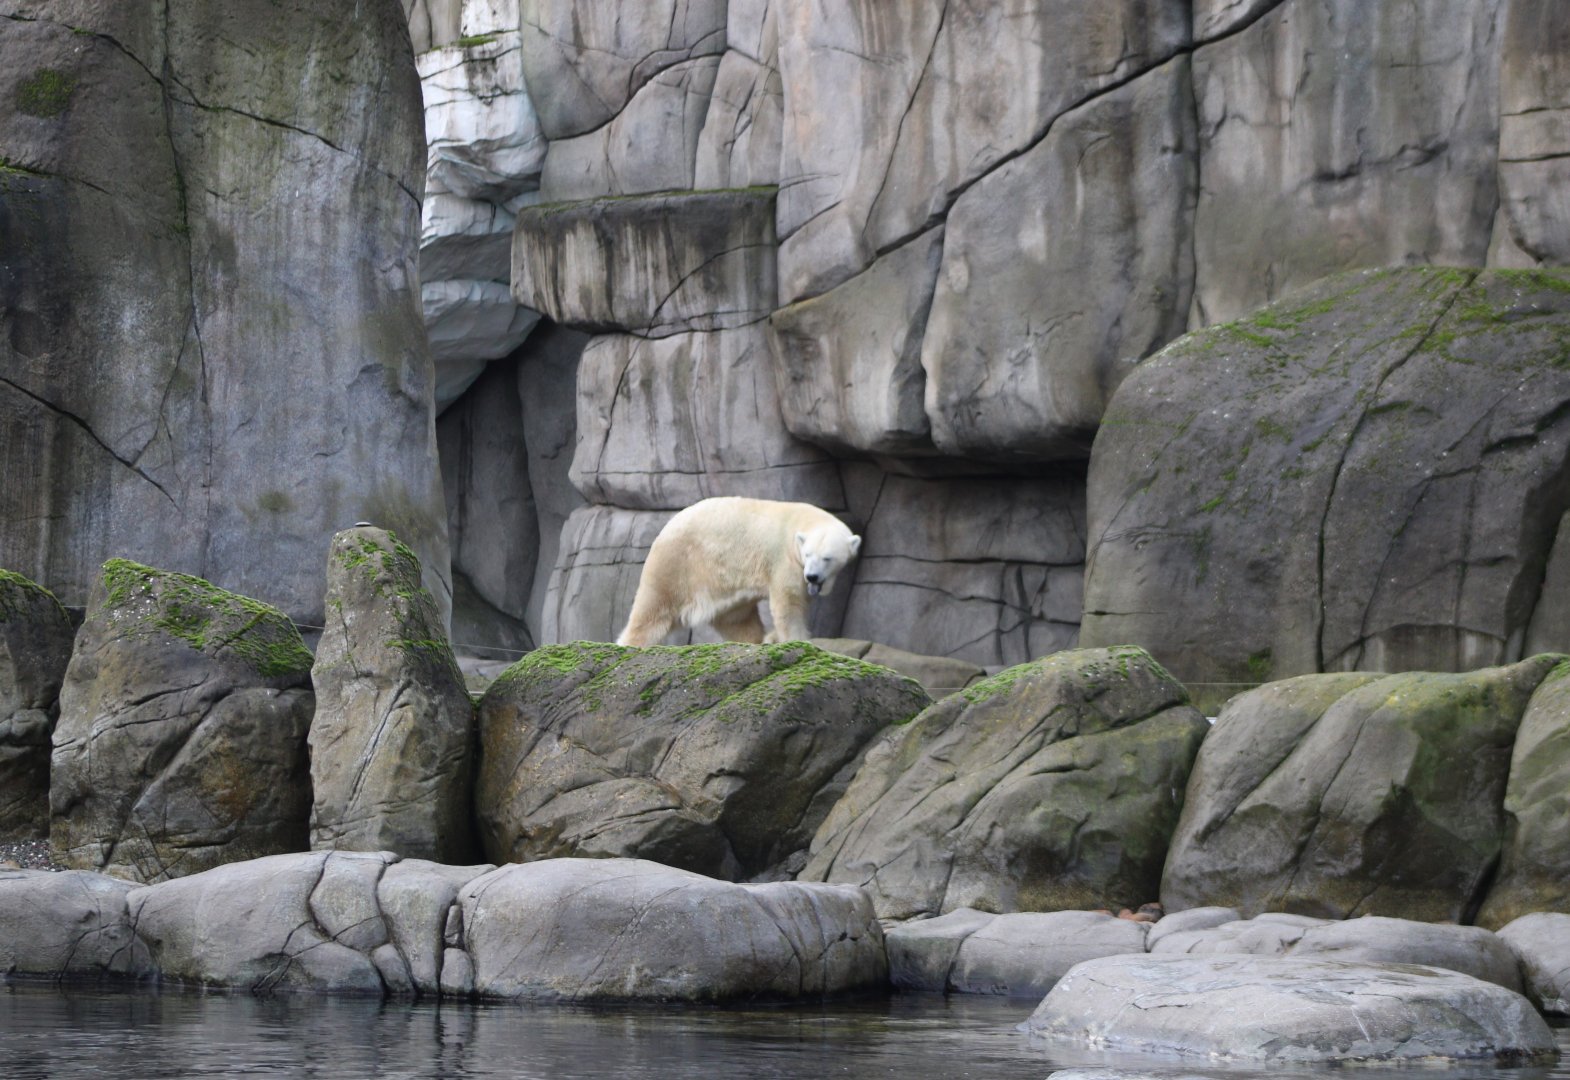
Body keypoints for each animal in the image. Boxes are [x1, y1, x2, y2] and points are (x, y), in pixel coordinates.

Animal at [616, 496, 861, 647]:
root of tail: (666, 528)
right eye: (808, 554)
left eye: (827, 558)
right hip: (676, 564)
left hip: (721, 589)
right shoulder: (785, 560)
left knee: (738, 620)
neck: (802, 520)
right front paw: (798, 640)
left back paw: (757, 640)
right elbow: (789, 604)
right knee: (653, 611)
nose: (812, 577)